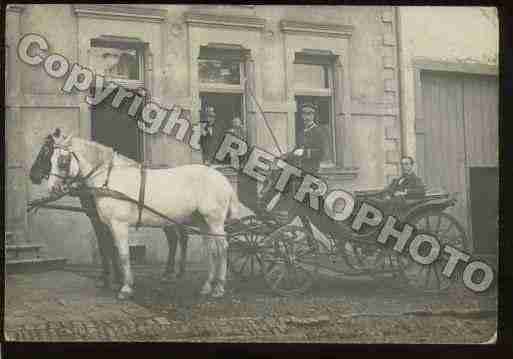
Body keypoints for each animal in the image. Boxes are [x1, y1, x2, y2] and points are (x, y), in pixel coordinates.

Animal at [47, 131, 239, 300]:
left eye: (63, 161)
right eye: (49, 159)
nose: (52, 188)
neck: (110, 179)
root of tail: (222, 179)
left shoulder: (119, 225)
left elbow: (124, 254)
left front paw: (125, 288)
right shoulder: (109, 225)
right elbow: (114, 251)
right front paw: (118, 282)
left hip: (214, 221)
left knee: (223, 247)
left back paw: (219, 287)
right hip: (202, 221)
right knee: (211, 249)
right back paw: (207, 286)